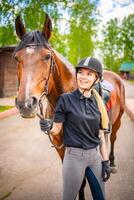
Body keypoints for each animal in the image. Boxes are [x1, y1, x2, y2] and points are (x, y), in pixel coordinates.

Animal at [14, 14, 125, 200]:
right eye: (16, 58)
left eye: (47, 57)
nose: (26, 104)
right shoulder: (62, 148)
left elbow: (82, 181)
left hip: (118, 121)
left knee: (114, 138)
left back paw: (112, 162)